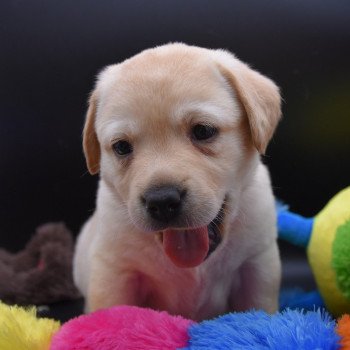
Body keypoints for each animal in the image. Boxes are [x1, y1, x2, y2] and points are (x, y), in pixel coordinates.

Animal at [73, 43, 282, 320]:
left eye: (203, 131)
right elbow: (112, 311)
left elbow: (260, 308)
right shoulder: (114, 270)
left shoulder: (257, 263)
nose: (162, 201)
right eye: (121, 147)